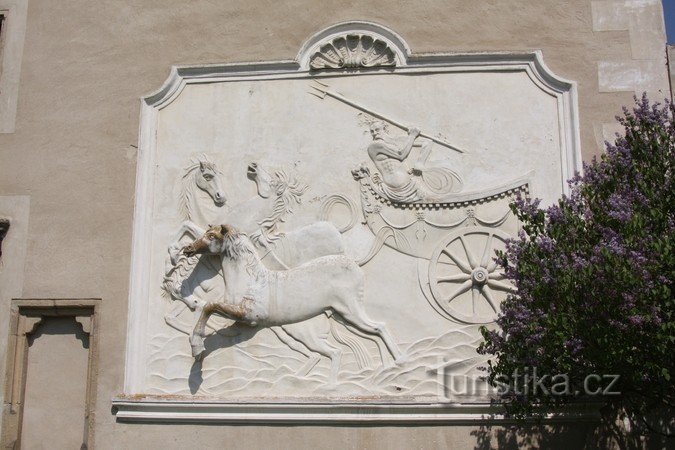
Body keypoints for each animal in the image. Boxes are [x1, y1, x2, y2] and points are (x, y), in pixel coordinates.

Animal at [185, 225, 404, 380]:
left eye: (212, 236)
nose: (188, 248)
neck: (249, 279)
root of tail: (353, 262)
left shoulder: (249, 316)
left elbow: (210, 306)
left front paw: (197, 347)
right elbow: (208, 307)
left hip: (349, 312)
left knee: (378, 328)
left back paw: (399, 362)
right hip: (341, 317)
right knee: (368, 337)